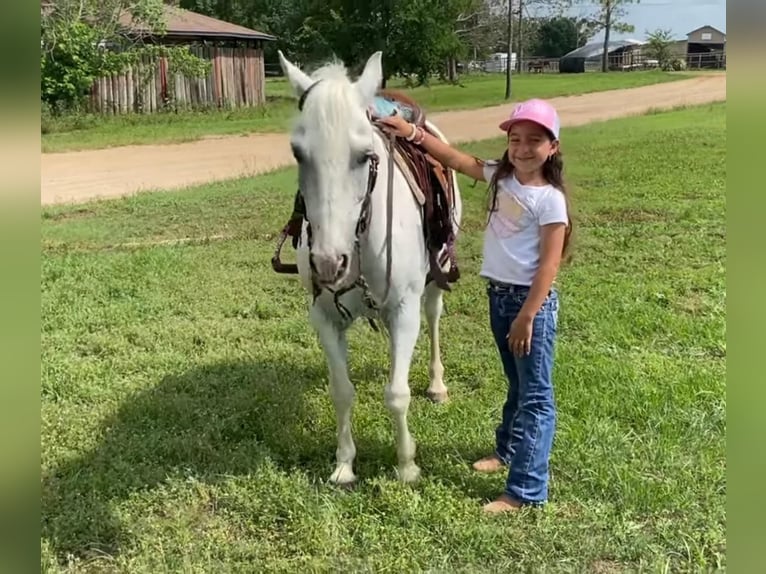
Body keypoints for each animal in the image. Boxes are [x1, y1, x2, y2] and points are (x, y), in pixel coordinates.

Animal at [280, 51, 464, 488]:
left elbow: (396, 394)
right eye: (298, 153)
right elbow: (342, 391)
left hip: (435, 281)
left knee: (434, 319)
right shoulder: (324, 317)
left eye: (366, 156)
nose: (329, 262)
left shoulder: (404, 310)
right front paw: (345, 464)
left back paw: (437, 385)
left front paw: (407, 465)